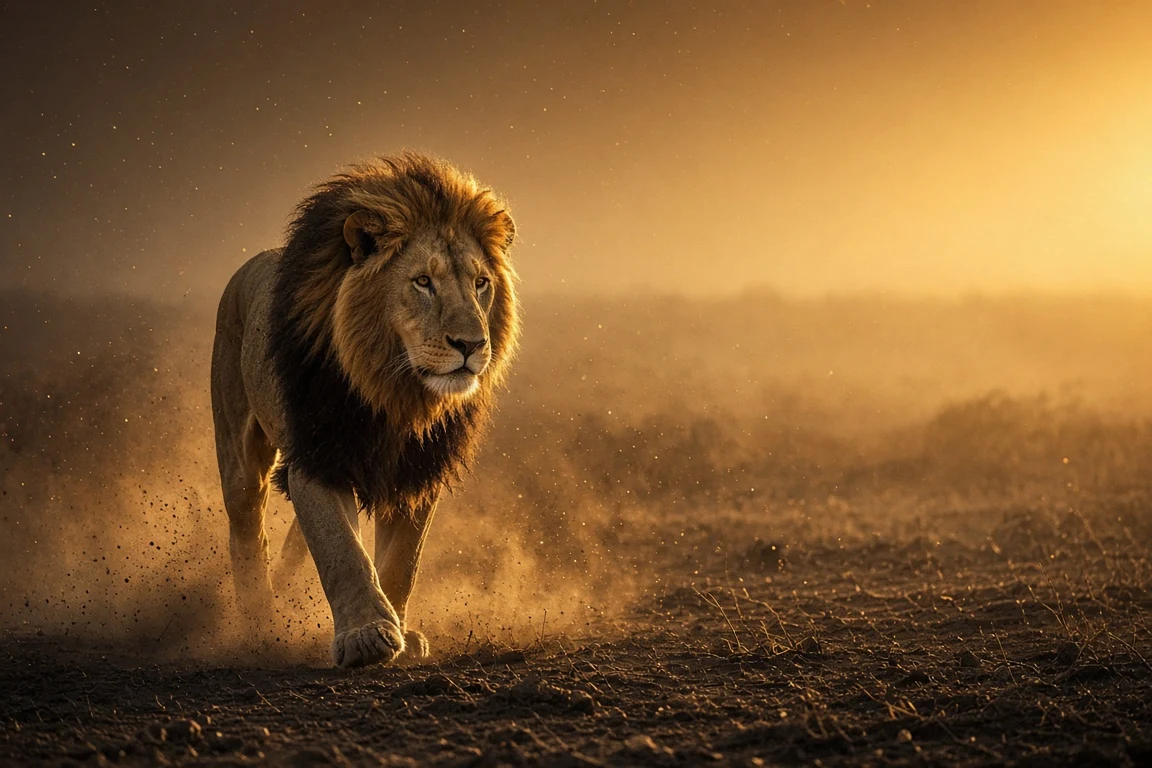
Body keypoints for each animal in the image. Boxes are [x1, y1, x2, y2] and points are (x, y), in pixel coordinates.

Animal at [210, 152, 519, 667]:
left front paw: (402, 633)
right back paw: (260, 624)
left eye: (481, 283)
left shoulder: (418, 471)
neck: (396, 391)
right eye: (422, 282)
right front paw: (366, 636)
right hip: (238, 449)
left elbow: (402, 562)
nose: (472, 345)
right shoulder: (317, 459)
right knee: (248, 525)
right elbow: (342, 550)